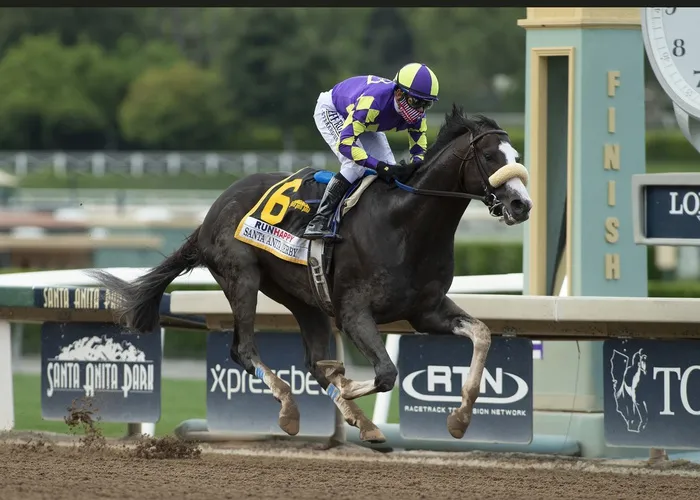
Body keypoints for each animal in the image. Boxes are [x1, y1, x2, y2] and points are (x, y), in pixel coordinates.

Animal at [88, 104, 533, 444]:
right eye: (491, 157)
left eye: (516, 155)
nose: (522, 204)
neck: (406, 224)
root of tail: (210, 213)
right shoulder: (354, 313)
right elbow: (385, 373)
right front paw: (349, 388)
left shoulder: (427, 311)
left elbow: (482, 334)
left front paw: (459, 419)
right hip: (242, 278)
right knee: (244, 350)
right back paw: (291, 408)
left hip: (304, 300)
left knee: (312, 362)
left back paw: (364, 424)